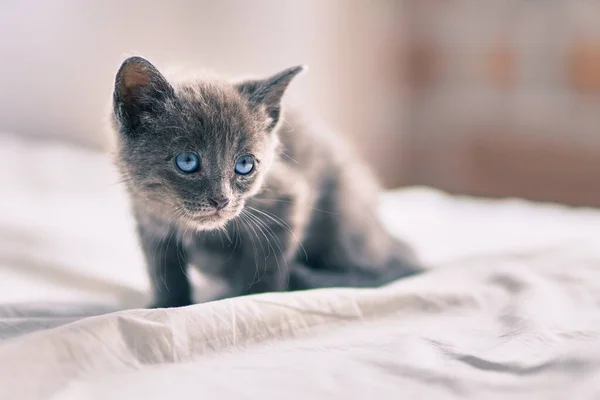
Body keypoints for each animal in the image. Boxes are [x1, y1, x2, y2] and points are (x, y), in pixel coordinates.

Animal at [111, 55, 422, 306]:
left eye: (245, 165)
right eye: (187, 161)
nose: (221, 200)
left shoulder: (286, 198)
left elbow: (266, 266)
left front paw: (254, 299)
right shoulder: (148, 220)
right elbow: (163, 270)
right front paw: (167, 305)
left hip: (348, 218)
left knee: (390, 267)